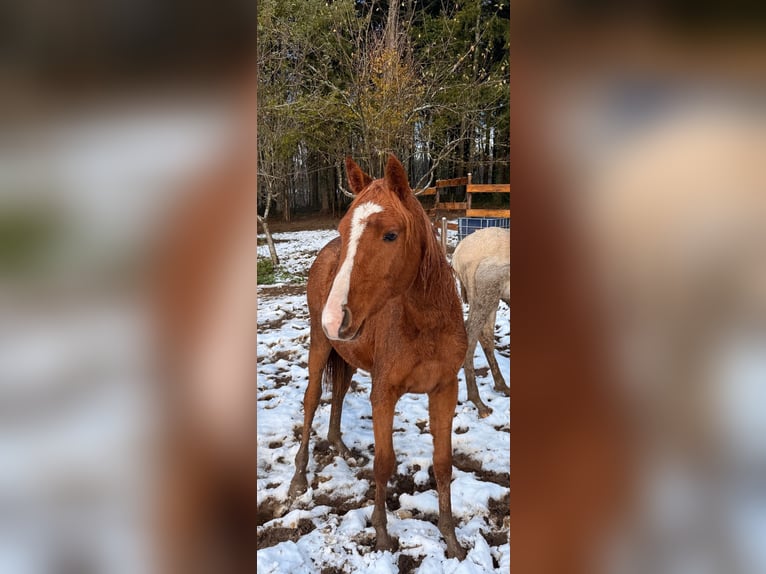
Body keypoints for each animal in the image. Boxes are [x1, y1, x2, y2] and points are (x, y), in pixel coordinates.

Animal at [287, 154, 469, 559]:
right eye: (344, 228)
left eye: (390, 234)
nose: (334, 318)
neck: (424, 325)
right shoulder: (384, 393)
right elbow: (384, 463)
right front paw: (383, 534)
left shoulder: (445, 390)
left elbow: (443, 464)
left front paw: (451, 540)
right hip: (320, 347)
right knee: (311, 400)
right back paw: (298, 478)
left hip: (347, 355)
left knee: (339, 393)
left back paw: (340, 447)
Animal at [452, 226, 510, 417]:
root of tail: (456, 256)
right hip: (486, 290)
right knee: (472, 332)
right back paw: (478, 402)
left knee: (485, 335)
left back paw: (502, 385)